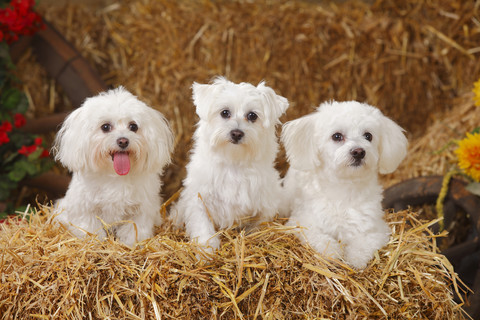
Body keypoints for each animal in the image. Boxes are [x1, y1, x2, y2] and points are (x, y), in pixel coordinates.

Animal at [52, 86, 174, 246]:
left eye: (133, 126)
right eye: (105, 127)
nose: (123, 141)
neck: (115, 176)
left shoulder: (140, 211)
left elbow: (133, 232)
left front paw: (130, 246)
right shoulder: (86, 210)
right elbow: (91, 230)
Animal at [170, 77, 286, 250]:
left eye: (252, 116)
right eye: (225, 113)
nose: (236, 133)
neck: (234, 162)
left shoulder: (266, 206)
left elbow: (258, 226)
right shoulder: (199, 201)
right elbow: (203, 228)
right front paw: (207, 250)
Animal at [282, 101, 408, 268]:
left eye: (368, 136)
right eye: (337, 136)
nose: (359, 152)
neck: (343, 189)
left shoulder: (377, 229)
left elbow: (363, 244)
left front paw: (355, 258)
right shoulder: (302, 222)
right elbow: (320, 239)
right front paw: (333, 252)